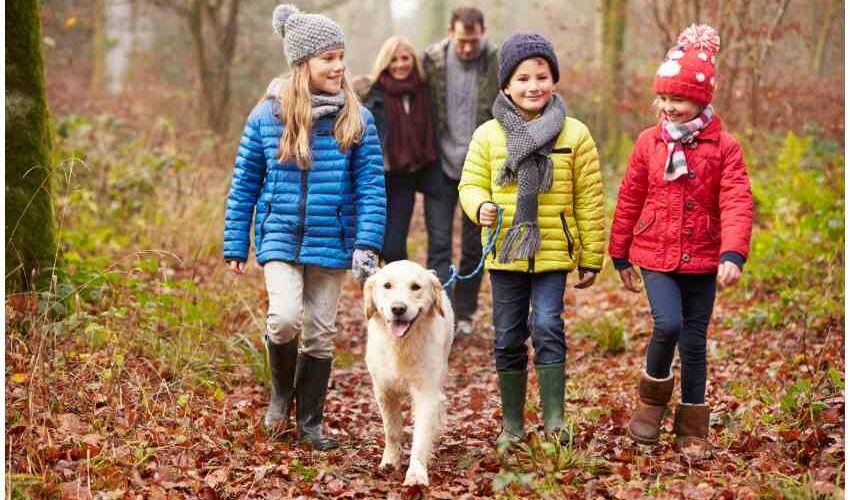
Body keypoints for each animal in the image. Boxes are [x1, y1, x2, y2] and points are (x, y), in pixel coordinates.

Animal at [362, 260, 454, 486]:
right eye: (387, 286)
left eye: (415, 287)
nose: (398, 308)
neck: (401, 345)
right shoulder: (384, 392)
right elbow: (392, 431)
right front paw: (390, 462)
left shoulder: (426, 393)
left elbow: (420, 436)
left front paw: (416, 474)